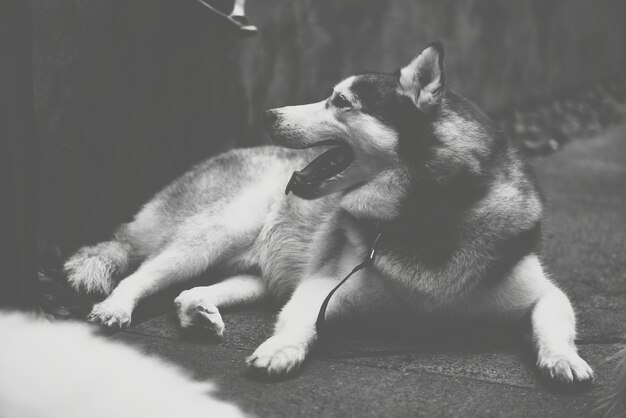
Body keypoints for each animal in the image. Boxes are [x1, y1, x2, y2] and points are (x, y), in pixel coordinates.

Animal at [66, 41, 592, 382]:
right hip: (216, 233)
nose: (269, 114)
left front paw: (563, 359)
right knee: (140, 273)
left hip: (258, 274)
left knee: (191, 291)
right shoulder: (322, 289)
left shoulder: (543, 293)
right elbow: (299, 321)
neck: (423, 216)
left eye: (340, 101)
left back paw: (198, 310)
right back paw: (115, 307)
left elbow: (553, 320)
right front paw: (281, 349)